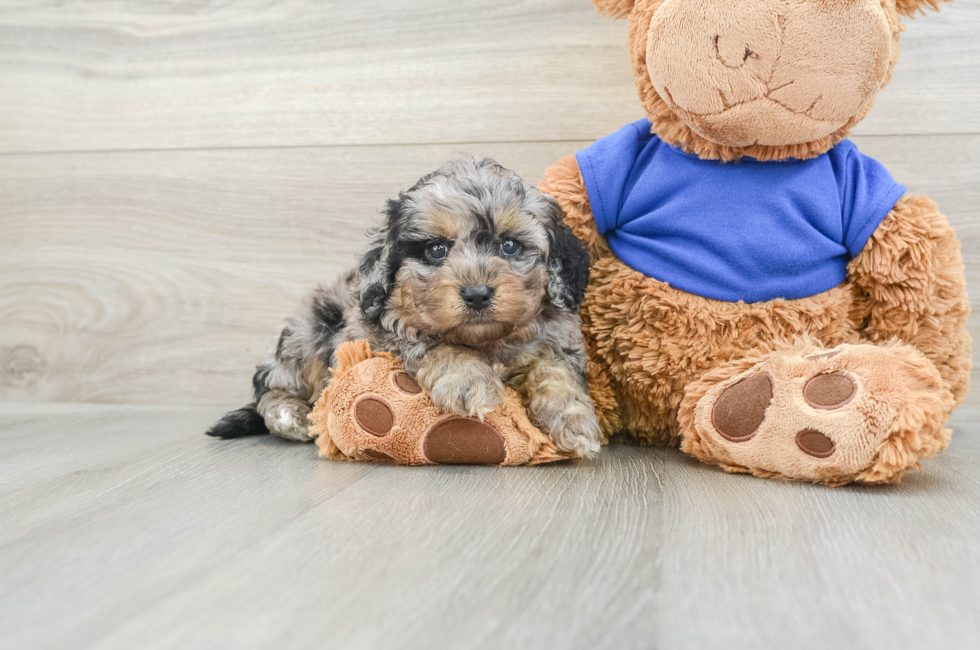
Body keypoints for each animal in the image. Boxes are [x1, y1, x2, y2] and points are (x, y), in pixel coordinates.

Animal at [206, 156, 600, 456]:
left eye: (510, 246)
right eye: (436, 249)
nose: (476, 294)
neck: (485, 341)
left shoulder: (557, 340)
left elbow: (555, 370)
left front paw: (575, 420)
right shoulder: (380, 333)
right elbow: (432, 342)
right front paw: (468, 380)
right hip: (309, 330)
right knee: (271, 387)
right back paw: (291, 416)